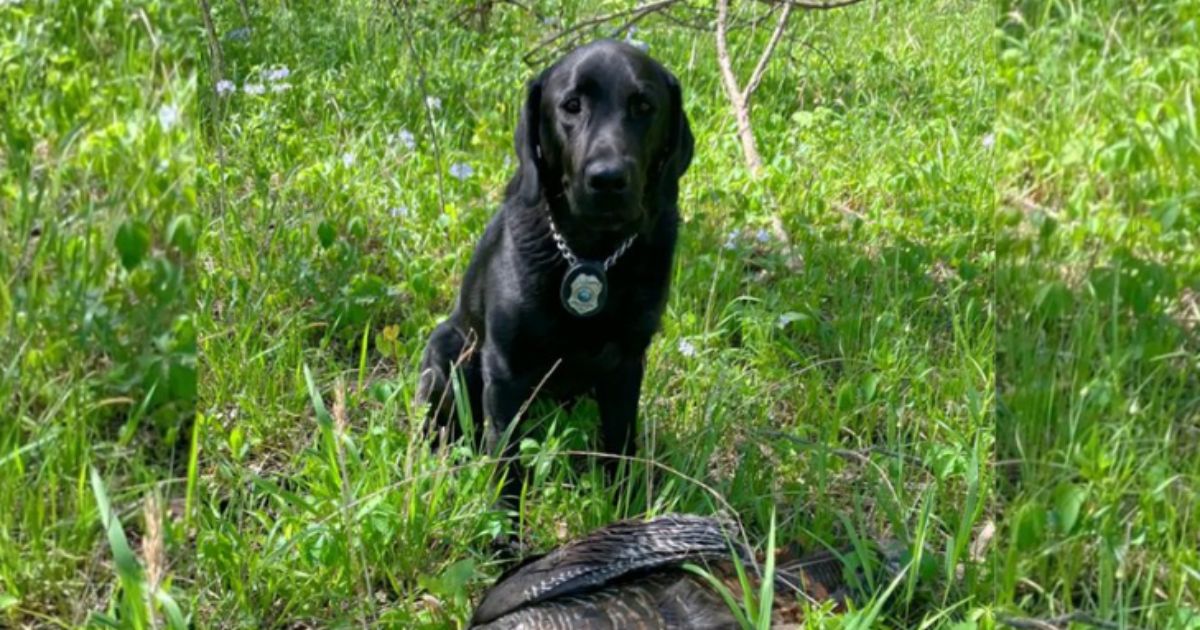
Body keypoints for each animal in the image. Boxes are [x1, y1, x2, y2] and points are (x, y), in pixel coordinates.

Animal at [417, 40, 696, 496]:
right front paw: (503, 517)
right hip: (447, 350)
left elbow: (620, 445)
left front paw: (623, 506)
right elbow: (506, 459)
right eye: (571, 105)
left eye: (643, 105)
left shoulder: (626, 364)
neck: (591, 255)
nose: (607, 179)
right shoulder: (505, 370)